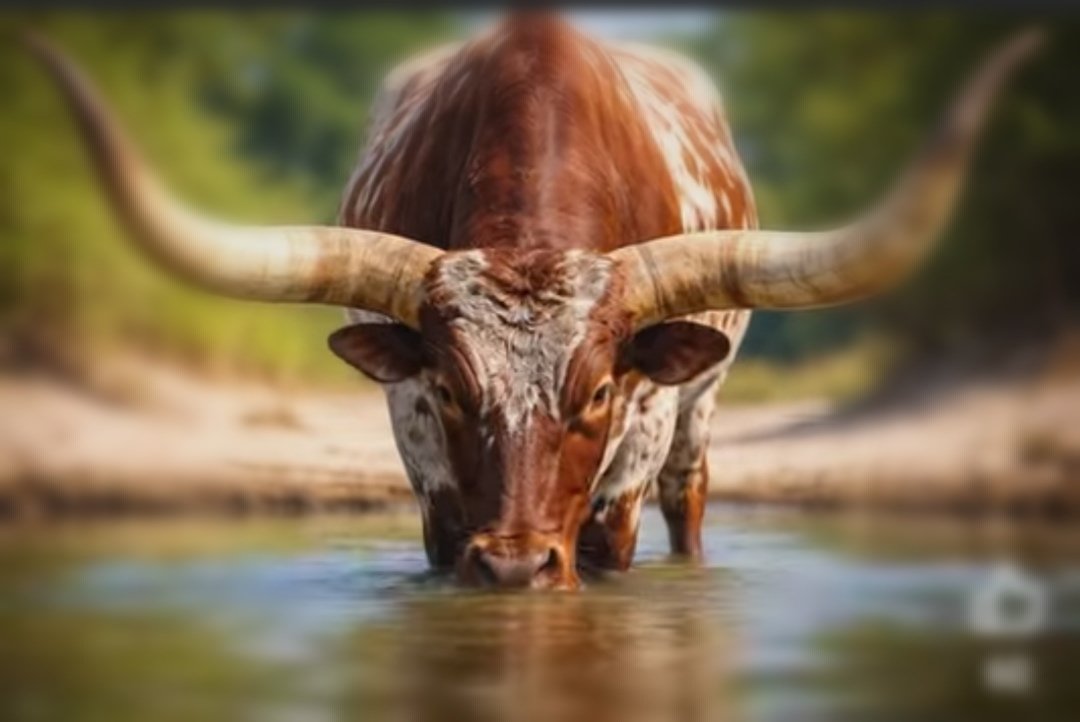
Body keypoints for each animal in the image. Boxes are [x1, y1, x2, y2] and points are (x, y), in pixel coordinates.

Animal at [25, 14, 1041, 589]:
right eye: (449, 390)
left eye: (596, 393)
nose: (514, 561)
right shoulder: (412, 428)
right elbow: (441, 536)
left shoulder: (644, 418)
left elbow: (608, 540)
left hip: (704, 402)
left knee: (689, 493)